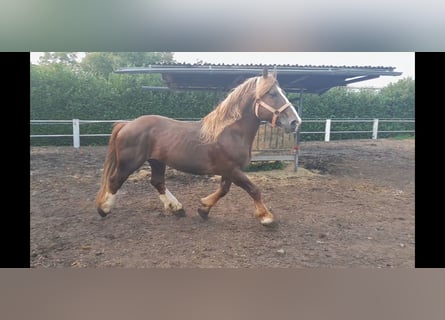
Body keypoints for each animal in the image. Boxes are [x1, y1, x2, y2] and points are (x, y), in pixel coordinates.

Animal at [95, 66, 300, 225]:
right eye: (272, 93)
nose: (295, 122)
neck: (230, 132)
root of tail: (127, 124)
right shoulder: (232, 169)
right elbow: (253, 189)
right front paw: (266, 217)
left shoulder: (229, 171)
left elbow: (223, 190)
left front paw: (204, 208)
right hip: (130, 162)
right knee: (115, 180)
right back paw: (104, 209)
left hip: (157, 161)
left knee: (157, 182)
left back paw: (177, 208)